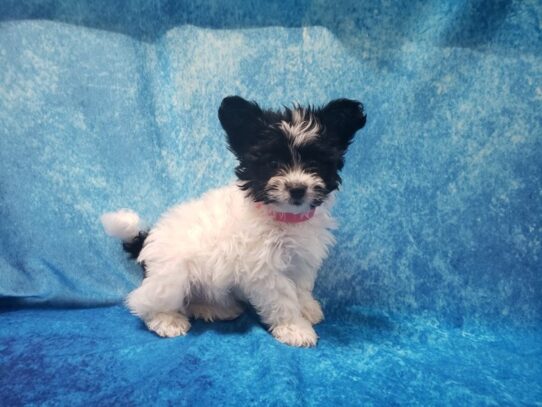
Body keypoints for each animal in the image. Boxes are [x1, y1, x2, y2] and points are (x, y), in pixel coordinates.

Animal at [102, 95, 368, 348]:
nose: (297, 189)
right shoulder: (264, 269)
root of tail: (148, 238)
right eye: (273, 164)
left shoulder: (301, 261)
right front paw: (295, 328)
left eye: (314, 164)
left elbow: (301, 287)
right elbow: (283, 298)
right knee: (143, 301)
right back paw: (166, 320)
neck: (282, 217)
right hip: (172, 275)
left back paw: (213, 308)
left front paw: (307, 308)